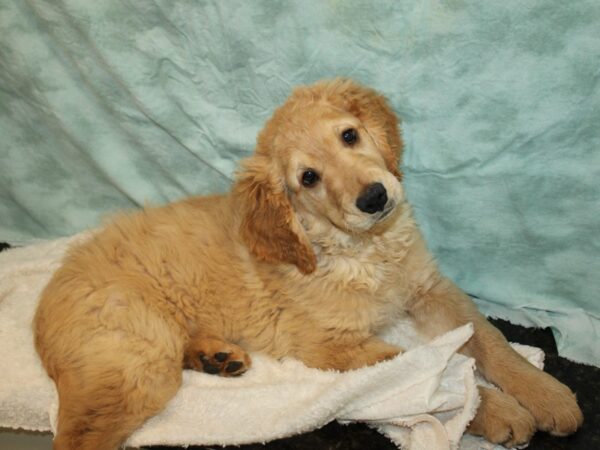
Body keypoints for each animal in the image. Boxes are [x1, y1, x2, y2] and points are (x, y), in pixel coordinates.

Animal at [34, 79, 580, 448]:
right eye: (309, 178)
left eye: (350, 136)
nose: (375, 196)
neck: (363, 253)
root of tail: (45, 307)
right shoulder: (331, 343)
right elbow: (425, 371)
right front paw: (496, 410)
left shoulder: (430, 287)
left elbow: (489, 341)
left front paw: (548, 395)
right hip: (134, 366)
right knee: (76, 436)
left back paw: (216, 357)